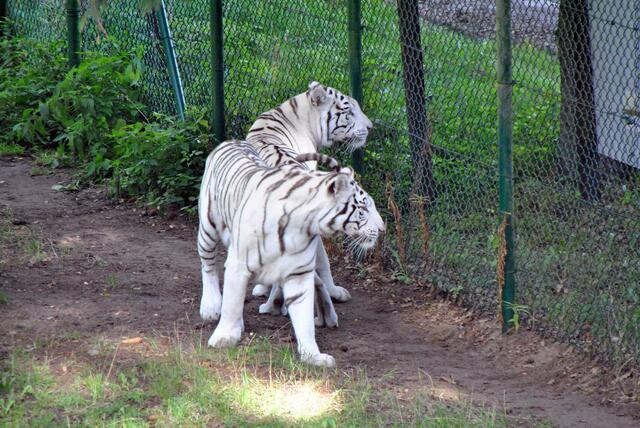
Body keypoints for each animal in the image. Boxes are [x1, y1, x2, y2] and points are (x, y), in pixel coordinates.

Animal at [197, 141, 384, 367]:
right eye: (363, 210)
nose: (383, 229)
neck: (302, 224)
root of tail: (231, 141)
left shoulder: (298, 274)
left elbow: (304, 318)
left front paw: (313, 356)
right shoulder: (238, 264)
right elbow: (232, 304)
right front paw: (224, 337)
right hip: (207, 228)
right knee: (208, 266)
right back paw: (210, 306)